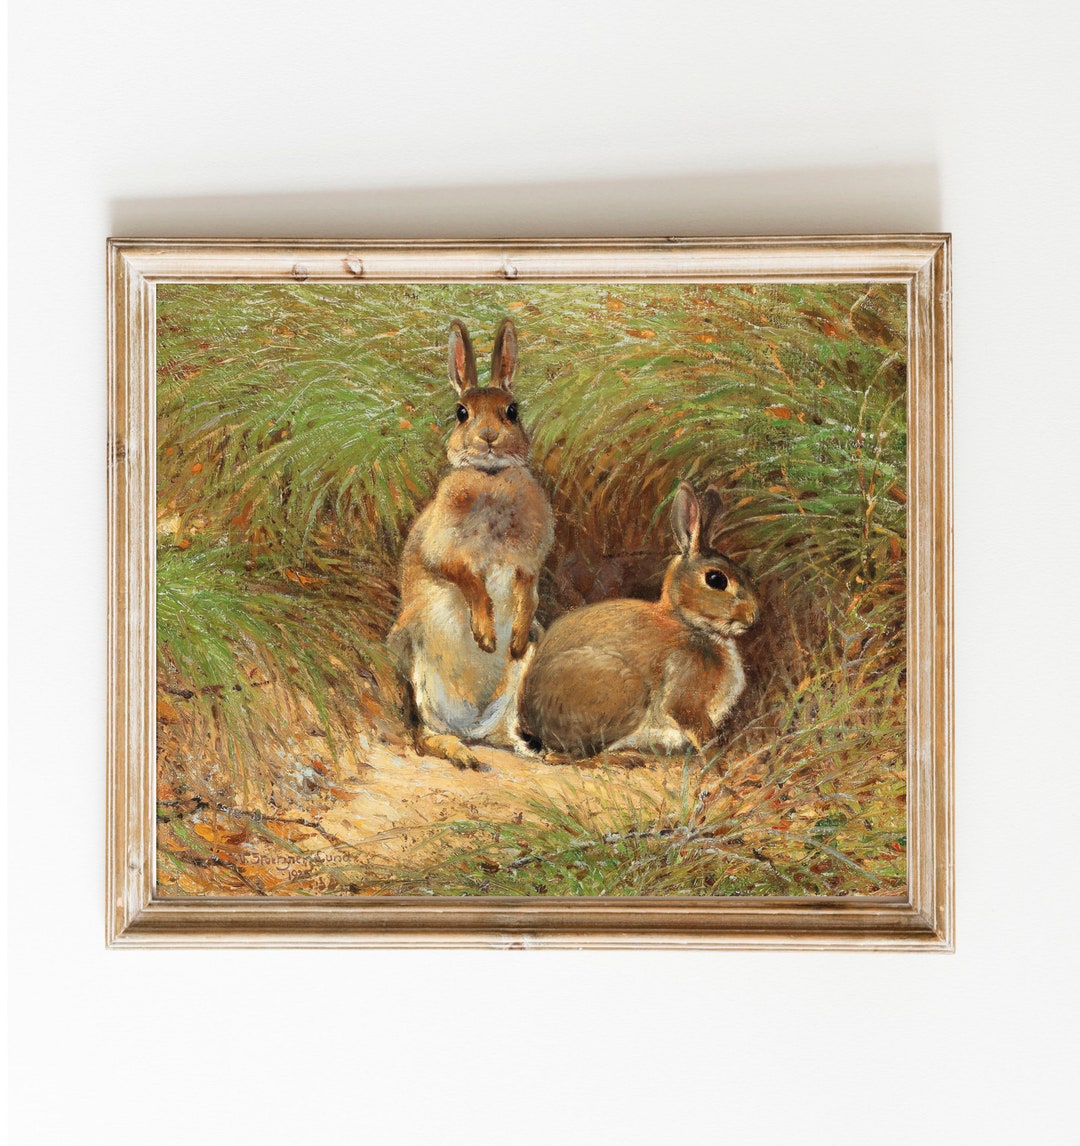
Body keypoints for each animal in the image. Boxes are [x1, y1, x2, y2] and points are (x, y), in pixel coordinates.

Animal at [389, 318, 554, 770]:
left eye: (512, 410)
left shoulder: (528, 563)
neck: (490, 478)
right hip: (418, 669)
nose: (489, 437)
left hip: (517, 680)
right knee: (424, 733)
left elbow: (527, 591)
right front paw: (485, 636)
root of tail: (472, 724)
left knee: (504, 731)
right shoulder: (443, 552)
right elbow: (469, 580)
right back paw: (459, 752)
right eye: (461, 413)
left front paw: (510, 639)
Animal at [519, 480, 759, 762]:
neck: (689, 623)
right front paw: (717, 755)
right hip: (626, 691)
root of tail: (531, 723)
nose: (753, 616)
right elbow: (697, 727)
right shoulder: (685, 695)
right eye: (716, 580)